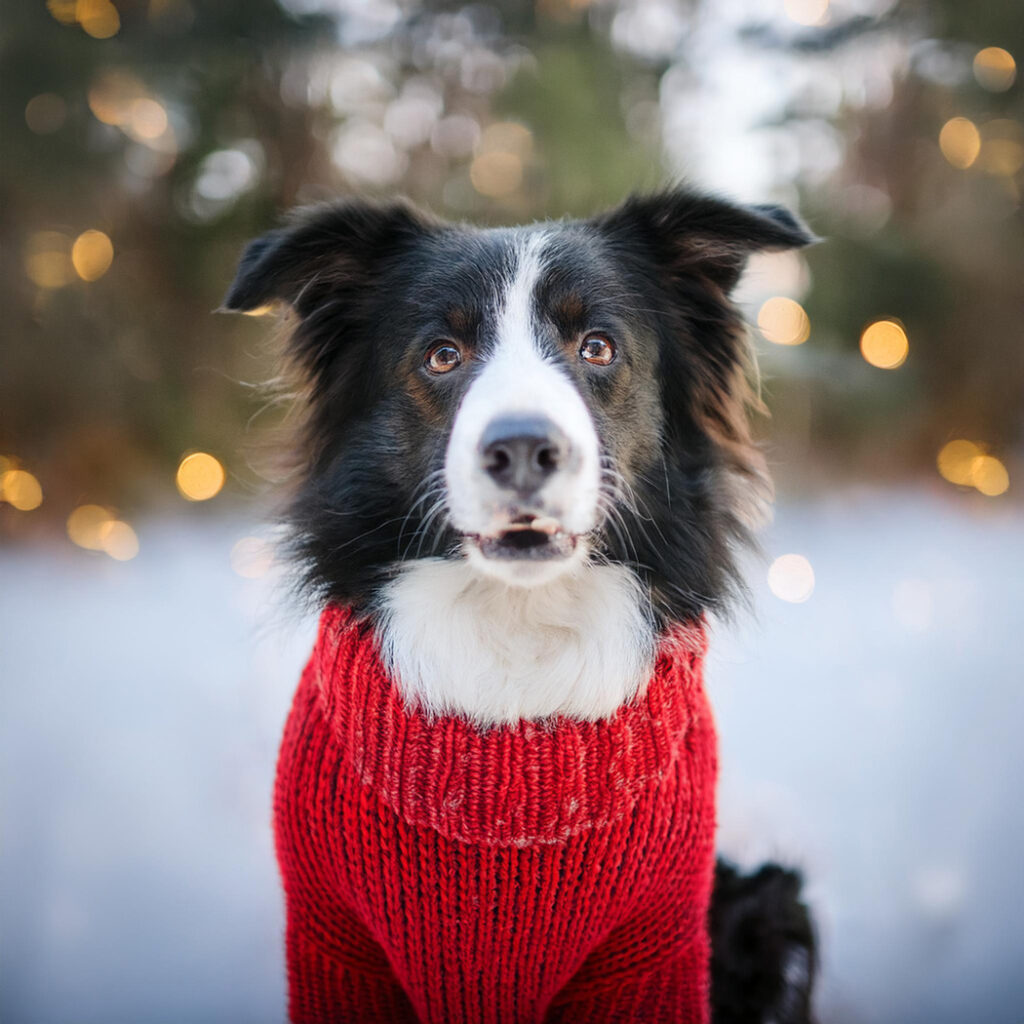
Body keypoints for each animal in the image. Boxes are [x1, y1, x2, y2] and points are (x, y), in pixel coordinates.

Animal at [222, 188, 815, 1019]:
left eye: (597, 347)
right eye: (442, 355)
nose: (525, 449)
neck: (516, 628)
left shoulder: (651, 950)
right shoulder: (337, 942)